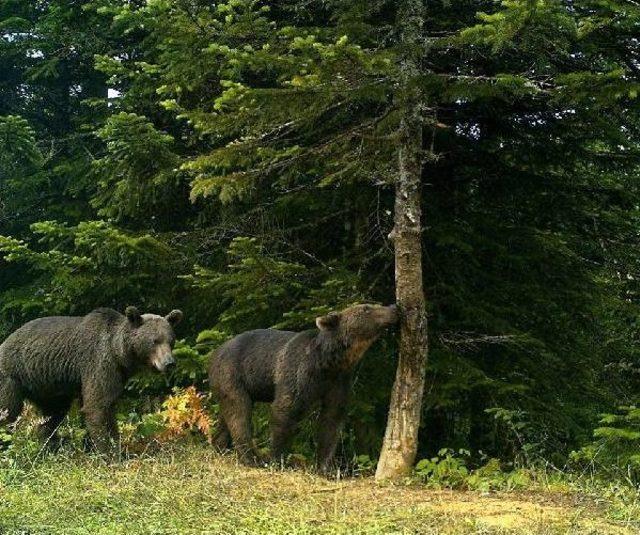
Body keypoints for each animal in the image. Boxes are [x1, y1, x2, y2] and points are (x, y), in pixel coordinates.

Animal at [0, 306, 182, 452]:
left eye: (171, 341)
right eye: (154, 341)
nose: (169, 363)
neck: (119, 353)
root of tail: (5, 342)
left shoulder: (115, 375)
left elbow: (104, 406)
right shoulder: (98, 362)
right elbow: (97, 406)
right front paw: (110, 452)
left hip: (47, 386)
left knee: (53, 414)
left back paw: (51, 446)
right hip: (12, 376)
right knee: (7, 411)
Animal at [208, 304, 398, 472]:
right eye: (367, 308)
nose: (393, 307)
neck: (329, 362)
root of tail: (214, 353)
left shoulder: (338, 381)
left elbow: (332, 419)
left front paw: (325, 466)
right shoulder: (298, 371)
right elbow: (285, 409)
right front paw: (277, 458)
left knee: (228, 414)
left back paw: (220, 446)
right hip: (233, 373)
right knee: (239, 412)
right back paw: (250, 458)